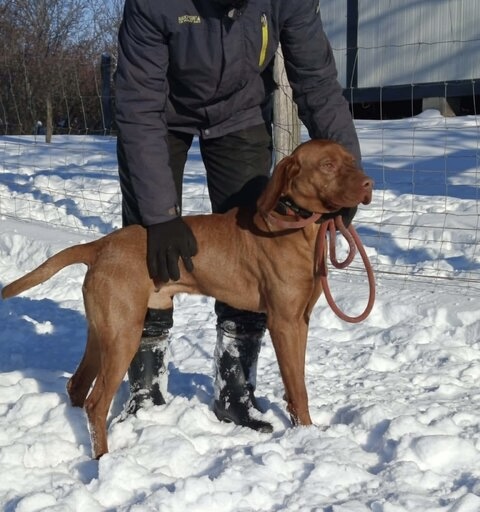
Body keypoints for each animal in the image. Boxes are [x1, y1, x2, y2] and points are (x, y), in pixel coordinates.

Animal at [2, 139, 373, 458]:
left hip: (103, 332)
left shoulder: (301, 321)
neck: (298, 226)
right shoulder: (285, 324)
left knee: (77, 386)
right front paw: (307, 434)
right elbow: (298, 388)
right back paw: (103, 460)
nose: (368, 183)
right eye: (327, 165)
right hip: (123, 334)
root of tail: (100, 245)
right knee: (96, 402)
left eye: (350, 160)